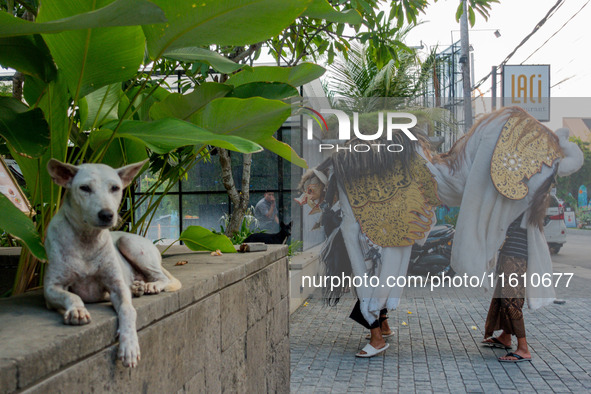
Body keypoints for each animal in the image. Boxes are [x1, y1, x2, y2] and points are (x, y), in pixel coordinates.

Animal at [43, 159, 182, 368]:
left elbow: (128, 309)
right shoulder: (51, 288)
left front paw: (129, 345)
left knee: (161, 277)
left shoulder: (117, 287)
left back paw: (151, 286)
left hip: (129, 242)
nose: (107, 214)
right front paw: (77, 310)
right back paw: (138, 287)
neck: (87, 239)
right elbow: (71, 295)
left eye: (115, 188)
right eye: (85, 188)